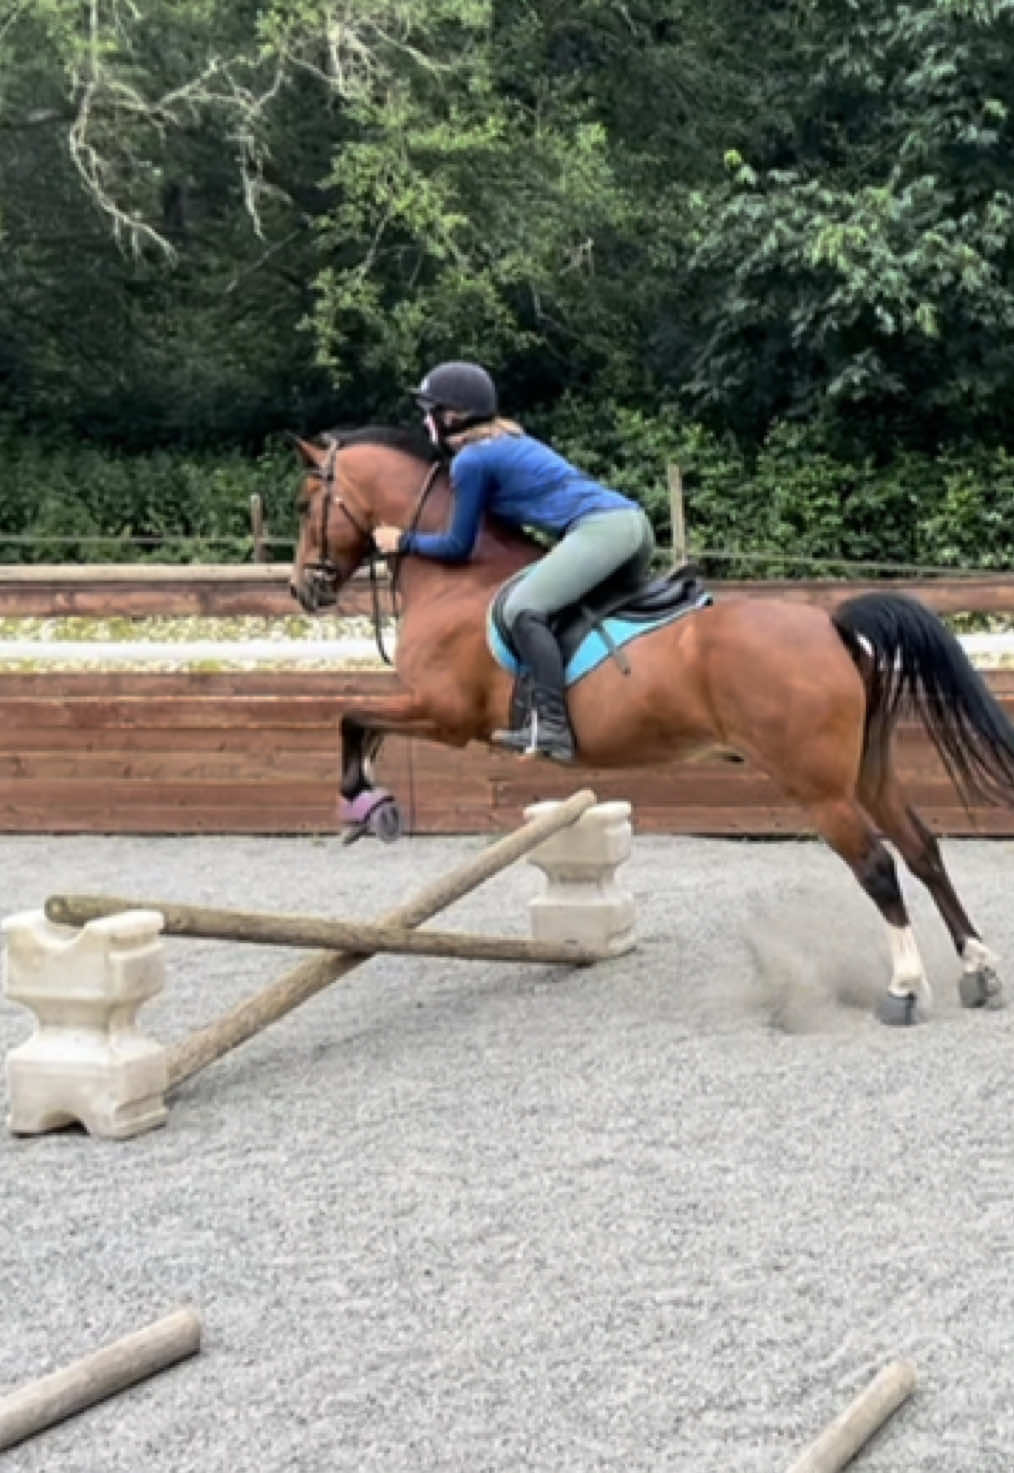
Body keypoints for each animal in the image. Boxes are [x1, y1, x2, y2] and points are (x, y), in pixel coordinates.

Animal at [288, 425, 1014, 1025]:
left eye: (304, 503)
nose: (303, 589)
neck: (456, 577)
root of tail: (832, 624)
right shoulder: (427, 708)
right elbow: (365, 723)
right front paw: (371, 804)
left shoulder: (442, 713)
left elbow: (351, 717)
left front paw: (365, 802)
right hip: (867, 770)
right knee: (922, 848)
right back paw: (977, 969)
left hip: (819, 788)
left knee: (878, 865)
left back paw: (905, 989)